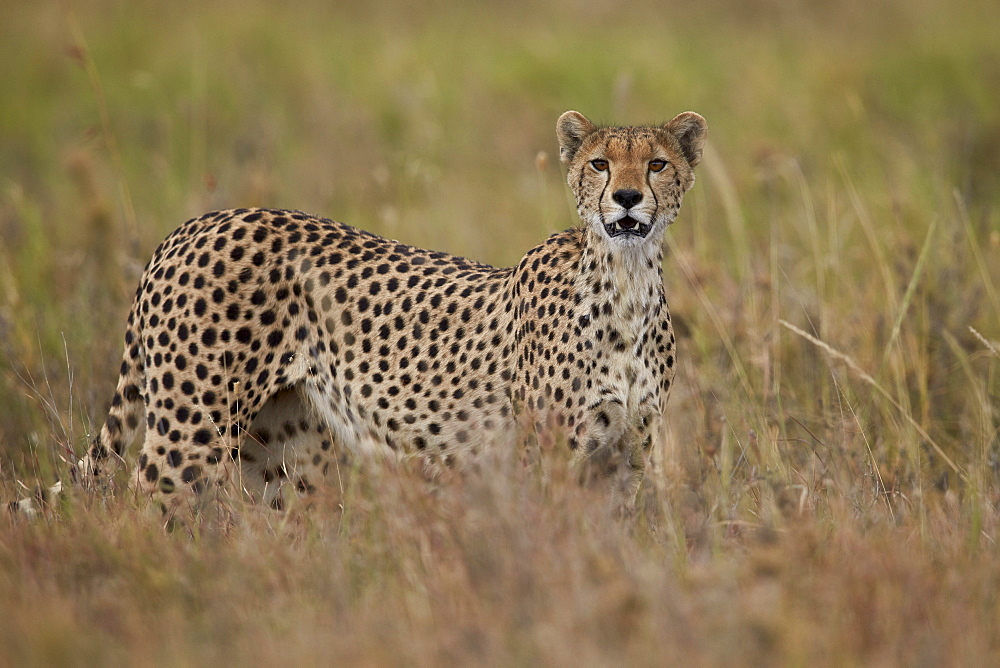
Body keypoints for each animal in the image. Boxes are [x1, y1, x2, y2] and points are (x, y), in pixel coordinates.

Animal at [19, 112, 708, 516]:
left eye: (657, 163)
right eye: (599, 163)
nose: (627, 197)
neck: (626, 280)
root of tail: (199, 222)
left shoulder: (627, 452)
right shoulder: (551, 455)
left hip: (284, 450)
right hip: (192, 423)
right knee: (145, 506)